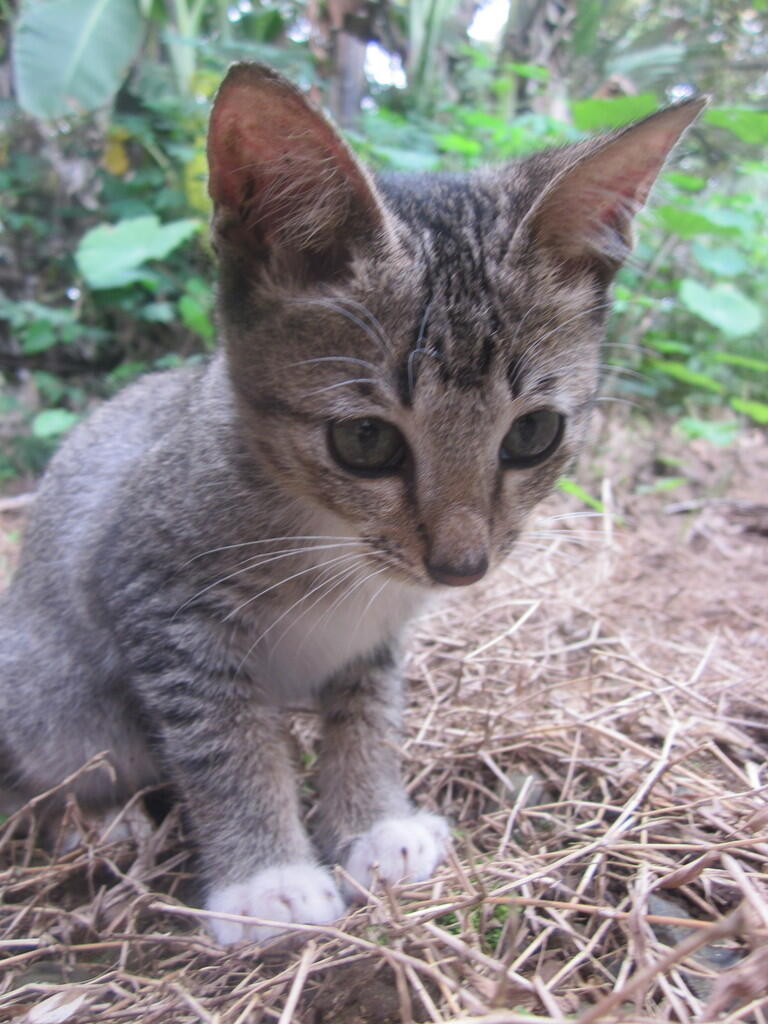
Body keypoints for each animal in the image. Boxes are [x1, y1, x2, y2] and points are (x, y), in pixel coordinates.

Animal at [0, 64, 704, 942]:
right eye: (365, 442)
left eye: (533, 434)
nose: (462, 566)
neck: (326, 536)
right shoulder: (158, 592)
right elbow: (224, 735)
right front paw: (267, 877)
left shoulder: (379, 632)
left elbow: (368, 713)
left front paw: (374, 821)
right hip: (56, 699)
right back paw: (90, 819)